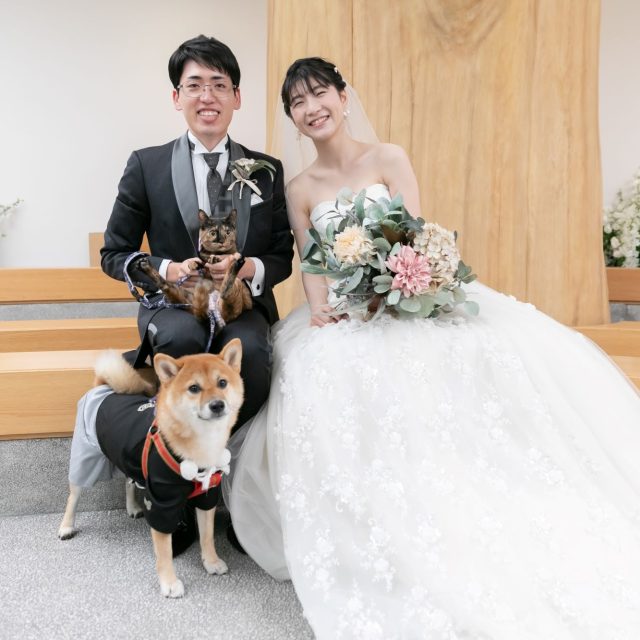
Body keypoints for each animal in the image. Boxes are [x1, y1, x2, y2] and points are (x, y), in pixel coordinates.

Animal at [58, 339, 244, 598]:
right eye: (194, 388)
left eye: (223, 383)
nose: (217, 404)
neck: (202, 444)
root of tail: (103, 388)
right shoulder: (161, 503)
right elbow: (164, 551)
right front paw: (169, 583)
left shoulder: (207, 494)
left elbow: (207, 536)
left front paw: (211, 562)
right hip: (85, 458)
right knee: (73, 496)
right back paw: (66, 526)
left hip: (126, 458)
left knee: (128, 482)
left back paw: (133, 507)